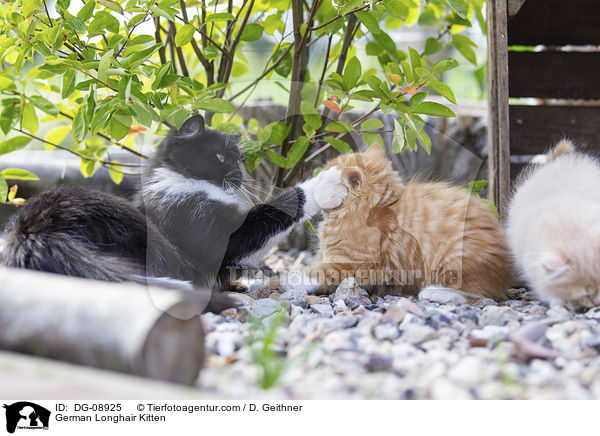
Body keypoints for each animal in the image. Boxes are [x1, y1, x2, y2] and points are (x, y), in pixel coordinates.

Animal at [1, 116, 346, 312]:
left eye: (239, 159)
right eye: (220, 157)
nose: (240, 174)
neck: (181, 179)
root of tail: (31, 228)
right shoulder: (203, 227)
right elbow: (272, 214)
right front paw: (329, 182)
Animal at [314, 144, 510, 300]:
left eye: (323, 178)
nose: (314, 181)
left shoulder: (359, 263)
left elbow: (315, 272)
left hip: (456, 258)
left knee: (477, 292)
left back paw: (434, 292)